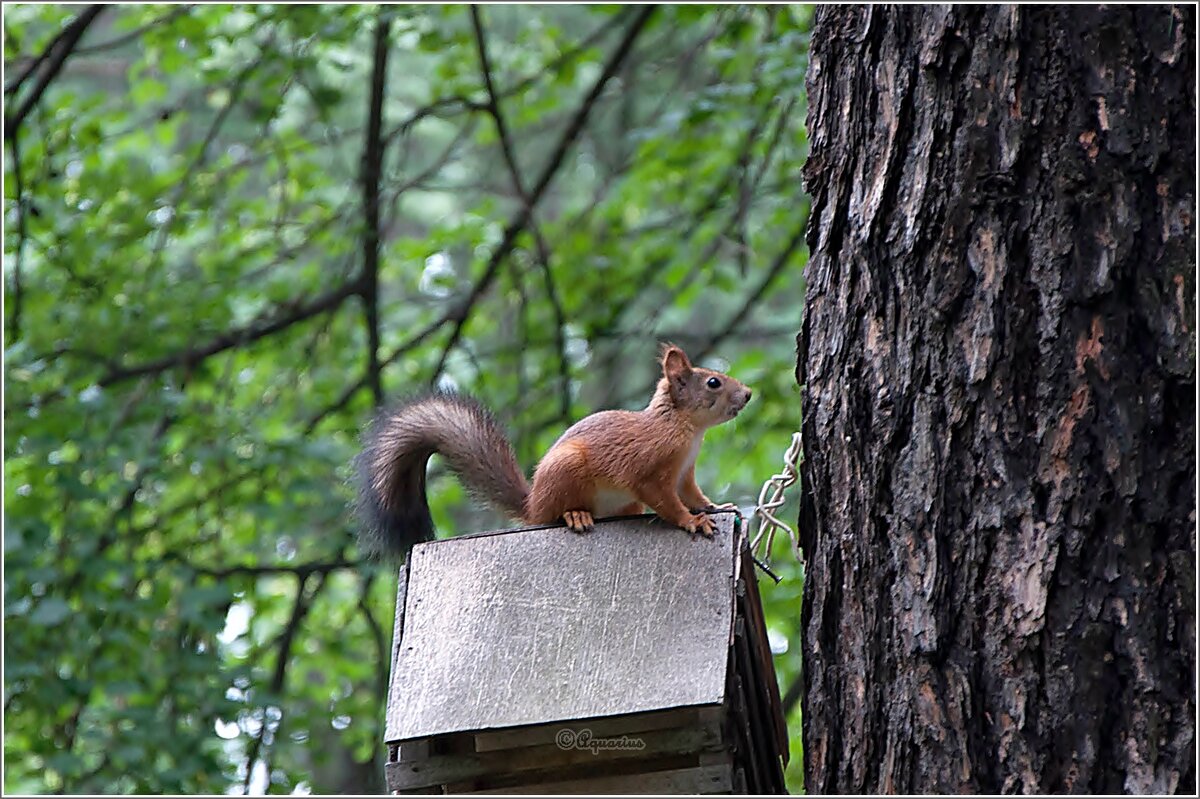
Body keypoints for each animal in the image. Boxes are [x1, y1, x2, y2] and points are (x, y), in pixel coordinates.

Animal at [352, 340, 748, 554]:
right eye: (713, 382)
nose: (747, 394)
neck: (685, 430)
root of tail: (533, 505)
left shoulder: (685, 473)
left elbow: (693, 494)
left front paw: (716, 507)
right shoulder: (651, 470)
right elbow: (667, 502)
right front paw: (692, 522)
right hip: (566, 472)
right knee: (556, 514)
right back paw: (575, 516)